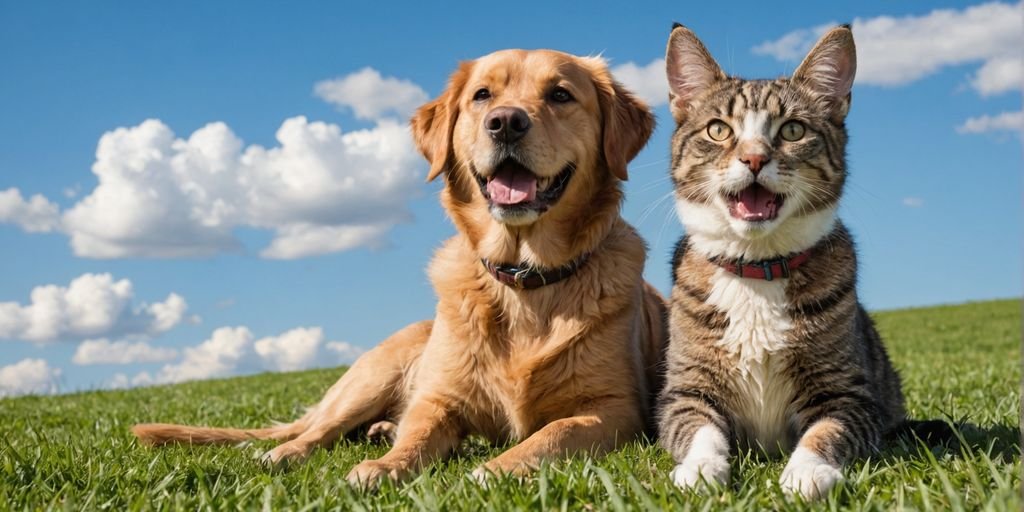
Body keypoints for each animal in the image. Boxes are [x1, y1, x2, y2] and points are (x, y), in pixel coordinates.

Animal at [132, 49, 667, 489]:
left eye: (560, 95)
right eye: (482, 96)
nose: (506, 122)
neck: (523, 280)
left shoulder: (614, 408)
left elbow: (553, 432)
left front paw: (495, 467)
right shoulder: (439, 397)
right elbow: (420, 431)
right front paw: (387, 466)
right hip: (375, 374)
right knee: (318, 429)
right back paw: (292, 451)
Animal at [655, 24, 905, 499]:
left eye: (792, 129)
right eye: (718, 129)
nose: (754, 158)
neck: (758, 268)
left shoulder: (847, 394)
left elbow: (827, 430)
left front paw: (807, 471)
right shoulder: (686, 388)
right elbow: (699, 429)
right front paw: (700, 469)